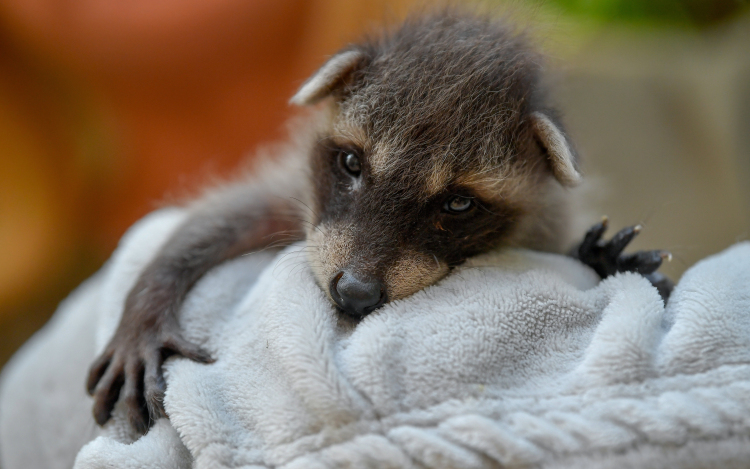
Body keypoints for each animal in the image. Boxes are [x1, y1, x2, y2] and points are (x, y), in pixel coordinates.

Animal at [85, 11, 672, 436]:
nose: (354, 293)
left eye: (457, 206)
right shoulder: (300, 196)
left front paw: (597, 257)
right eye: (351, 164)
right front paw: (148, 302)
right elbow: (219, 218)